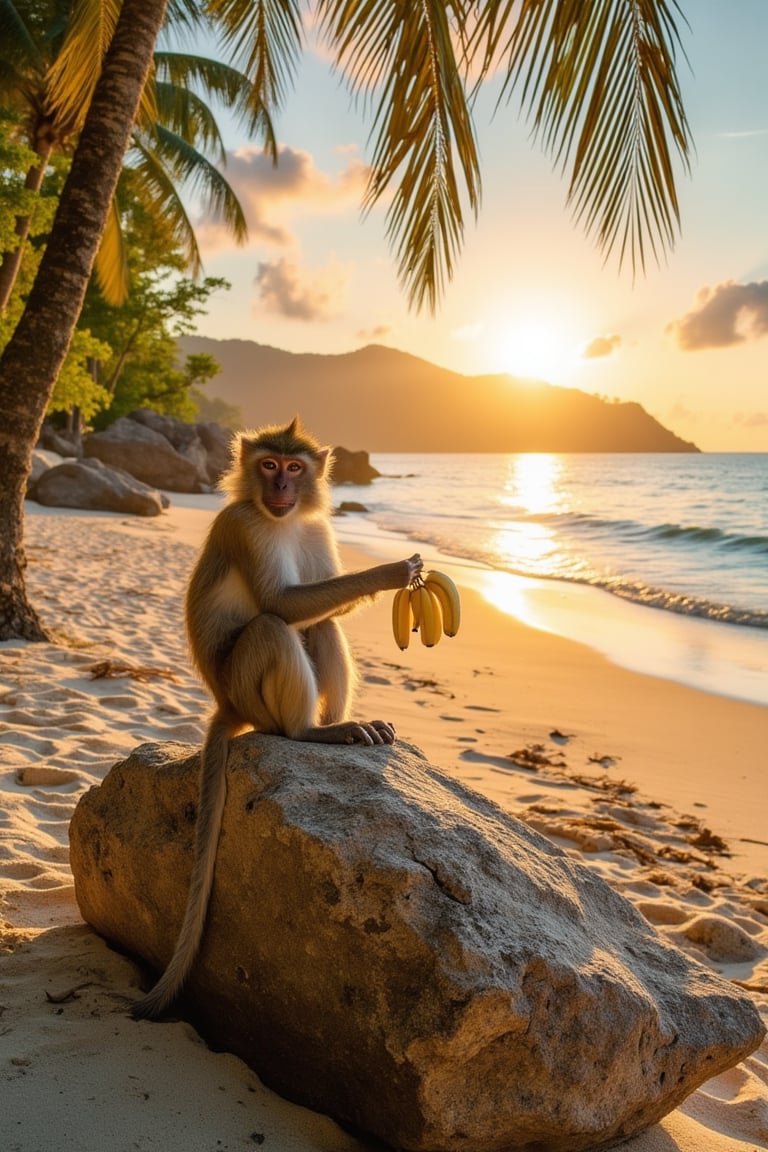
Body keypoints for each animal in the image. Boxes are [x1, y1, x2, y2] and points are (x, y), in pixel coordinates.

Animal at [132, 417, 421, 1018]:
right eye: (268, 466)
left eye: (293, 467)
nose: (282, 488)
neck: (277, 519)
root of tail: (226, 704)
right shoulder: (245, 526)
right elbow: (282, 604)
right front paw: (389, 572)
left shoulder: (314, 530)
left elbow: (317, 609)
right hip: (248, 692)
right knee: (272, 627)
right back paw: (308, 731)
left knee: (321, 625)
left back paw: (342, 724)